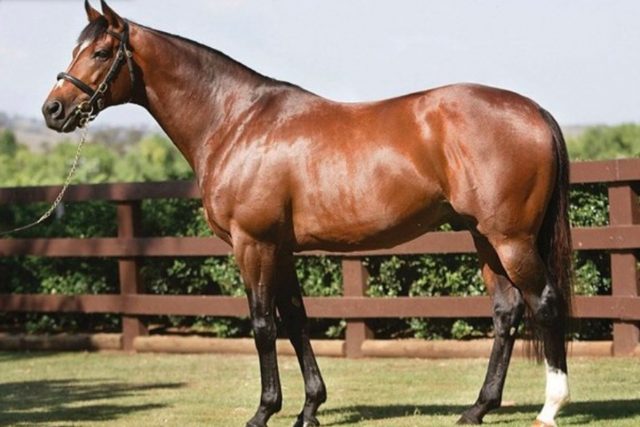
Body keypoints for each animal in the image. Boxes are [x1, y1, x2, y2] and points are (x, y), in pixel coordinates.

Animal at [42, 2, 573, 426]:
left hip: (511, 239)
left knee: (545, 303)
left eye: (101, 53)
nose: (54, 110)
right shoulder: (280, 248)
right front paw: (310, 408)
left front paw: (263, 411)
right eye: (75, 49)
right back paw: (477, 409)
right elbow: (296, 319)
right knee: (507, 312)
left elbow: (262, 324)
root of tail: (534, 111)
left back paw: (550, 407)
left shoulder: (252, 244)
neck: (236, 122)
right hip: (484, 237)